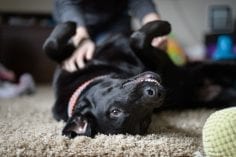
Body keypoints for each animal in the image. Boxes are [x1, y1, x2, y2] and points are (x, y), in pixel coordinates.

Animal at [43, 20, 236, 138]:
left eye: (114, 111)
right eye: (145, 123)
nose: (155, 93)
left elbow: (50, 47)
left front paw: (69, 26)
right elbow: (137, 39)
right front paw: (164, 26)